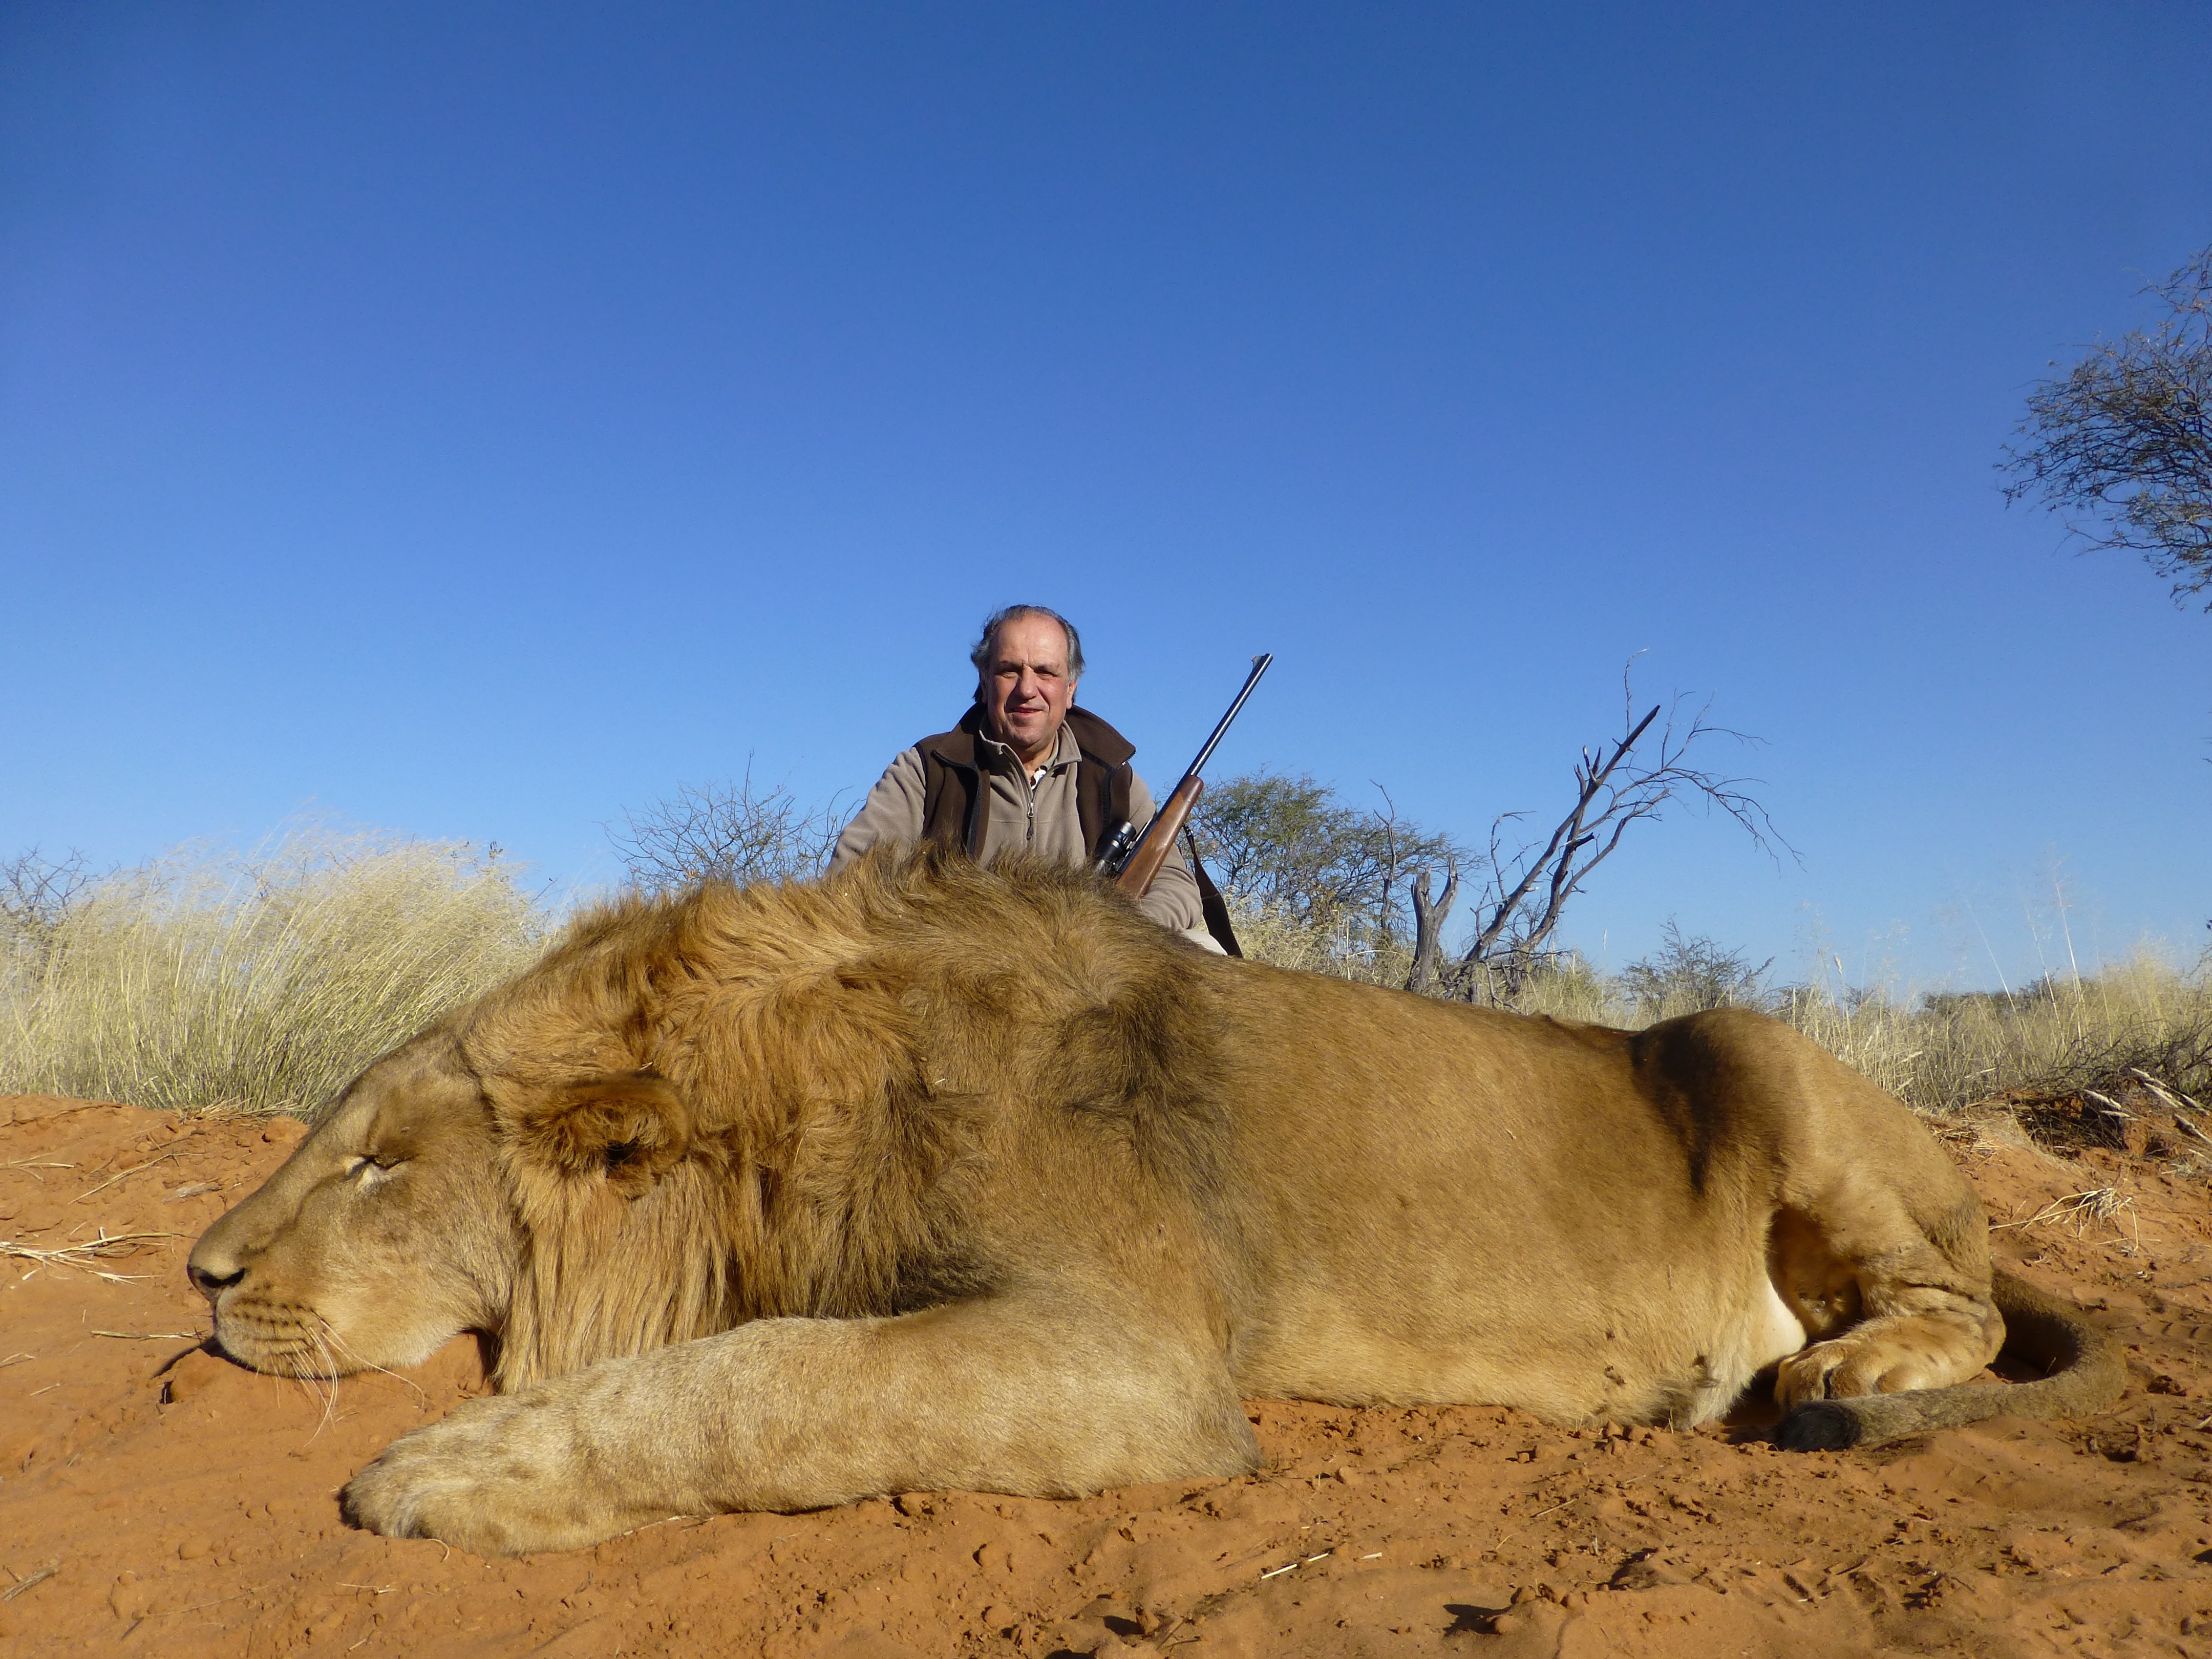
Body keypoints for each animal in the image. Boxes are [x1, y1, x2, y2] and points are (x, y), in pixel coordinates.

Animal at [190, 849, 2123, 1566]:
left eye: (375, 1162)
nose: (202, 1275)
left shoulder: (1135, 1357)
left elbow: (770, 1379)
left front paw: (454, 1468)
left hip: (1756, 1052)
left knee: (1952, 1299)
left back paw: (1833, 1377)